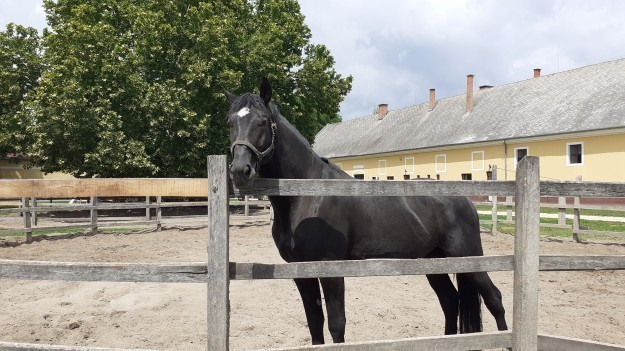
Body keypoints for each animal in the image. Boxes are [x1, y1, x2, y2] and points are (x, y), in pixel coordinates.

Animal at [225, 78, 508, 346]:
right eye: (230, 123)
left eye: (262, 121)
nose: (240, 171)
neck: (307, 195)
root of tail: (466, 201)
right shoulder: (300, 272)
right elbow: (314, 322)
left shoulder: (331, 268)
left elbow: (336, 324)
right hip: (433, 259)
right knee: (450, 301)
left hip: (468, 256)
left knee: (494, 299)